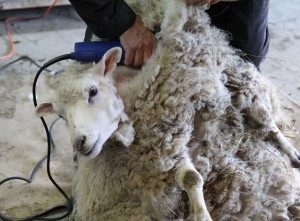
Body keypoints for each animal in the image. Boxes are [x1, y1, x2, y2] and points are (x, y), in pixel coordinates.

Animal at [35, 0, 300, 220]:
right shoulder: (162, 144)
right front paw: (200, 212)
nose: (79, 143)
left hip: (237, 80)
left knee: (265, 118)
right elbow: (191, 177)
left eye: (92, 91)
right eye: (60, 115)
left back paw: (292, 153)